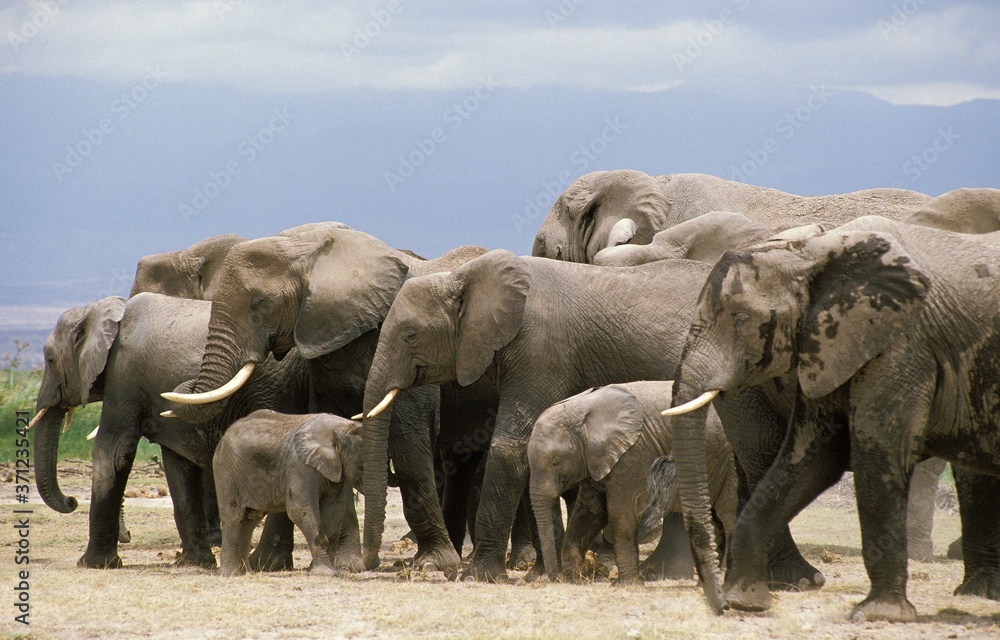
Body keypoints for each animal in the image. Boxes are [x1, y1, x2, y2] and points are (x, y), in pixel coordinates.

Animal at [31, 293, 311, 568]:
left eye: (50, 360)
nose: (71, 501)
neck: (103, 310)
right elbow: (177, 464)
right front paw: (193, 563)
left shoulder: (123, 375)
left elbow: (112, 452)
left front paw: (92, 564)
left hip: (277, 390)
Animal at [213, 410, 363, 576]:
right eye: (361, 467)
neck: (338, 427)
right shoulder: (299, 465)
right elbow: (299, 509)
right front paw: (327, 573)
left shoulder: (334, 472)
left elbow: (334, 511)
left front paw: (327, 571)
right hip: (226, 470)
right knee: (234, 515)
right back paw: (230, 574)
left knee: (249, 518)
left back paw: (246, 573)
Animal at [528, 382, 737, 584]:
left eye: (556, 461)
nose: (556, 578)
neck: (583, 407)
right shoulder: (597, 459)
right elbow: (589, 511)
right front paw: (574, 579)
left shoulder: (633, 454)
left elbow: (621, 513)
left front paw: (628, 583)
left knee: (728, 513)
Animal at [664, 216, 1000, 621]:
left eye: (741, 319)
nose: (719, 605)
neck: (814, 253)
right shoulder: (840, 344)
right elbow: (819, 456)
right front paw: (747, 600)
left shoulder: (900, 342)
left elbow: (867, 452)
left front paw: (878, 614)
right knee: (762, 451)